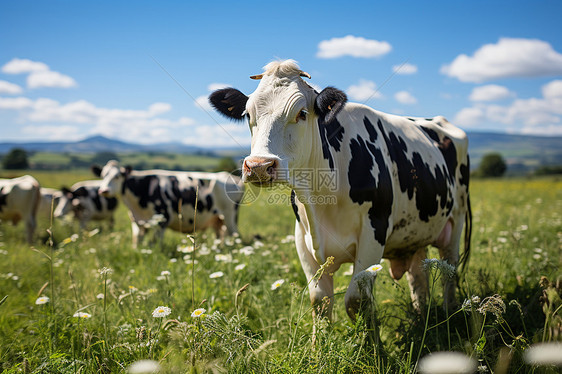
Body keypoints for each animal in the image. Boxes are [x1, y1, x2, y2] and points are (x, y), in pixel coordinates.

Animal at [92, 161, 243, 248]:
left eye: (117, 176)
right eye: (103, 175)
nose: (103, 190)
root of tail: (229, 176)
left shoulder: (162, 220)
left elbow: (155, 244)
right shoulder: (136, 221)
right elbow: (137, 241)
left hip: (230, 217)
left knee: (235, 235)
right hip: (217, 220)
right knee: (220, 235)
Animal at [208, 59, 470, 324]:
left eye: (302, 113)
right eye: (248, 115)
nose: (259, 166)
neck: (320, 198)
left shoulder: (374, 231)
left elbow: (356, 300)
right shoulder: (302, 237)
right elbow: (319, 300)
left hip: (456, 220)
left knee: (449, 271)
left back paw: (451, 314)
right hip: (415, 235)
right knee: (418, 277)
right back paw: (420, 318)